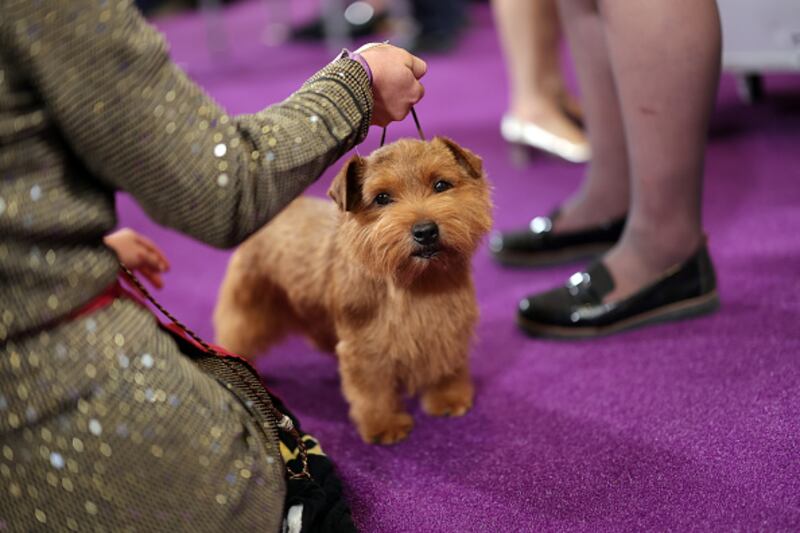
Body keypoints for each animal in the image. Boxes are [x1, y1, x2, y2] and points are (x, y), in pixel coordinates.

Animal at [212, 137, 494, 444]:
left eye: (441, 185)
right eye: (382, 198)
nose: (425, 231)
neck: (418, 284)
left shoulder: (449, 324)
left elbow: (448, 363)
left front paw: (448, 397)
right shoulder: (365, 348)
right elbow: (372, 391)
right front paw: (383, 425)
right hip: (251, 305)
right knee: (235, 333)